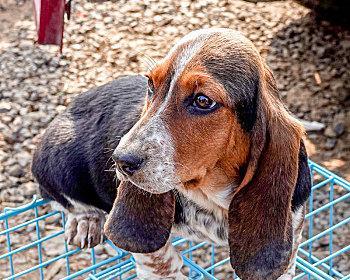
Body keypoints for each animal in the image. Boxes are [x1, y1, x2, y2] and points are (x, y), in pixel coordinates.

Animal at [31, 29, 310, 280]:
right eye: (150, 85)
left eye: (203, 101)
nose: (120, 160)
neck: (212, 197)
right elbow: (162, 263)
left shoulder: (293, 229)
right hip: (57, 156)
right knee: (56, 196)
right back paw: (86, 220)